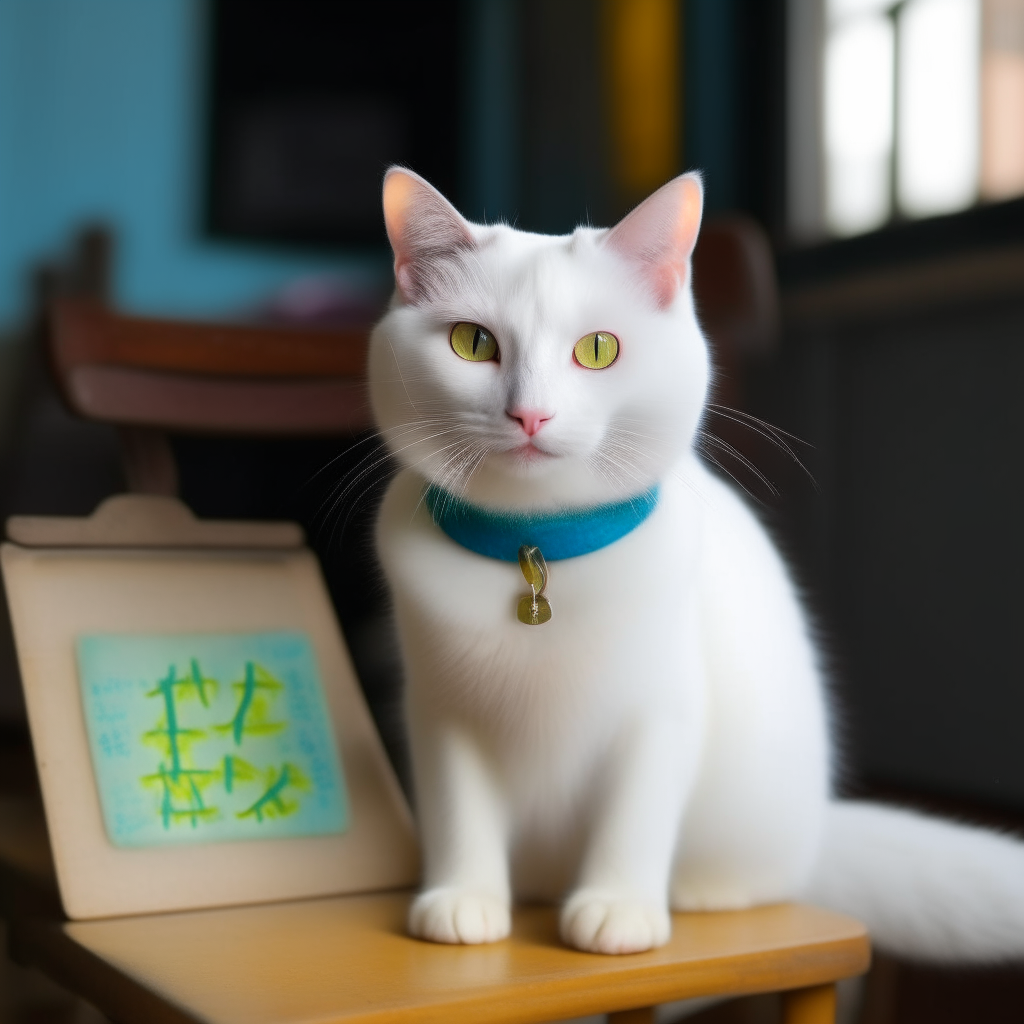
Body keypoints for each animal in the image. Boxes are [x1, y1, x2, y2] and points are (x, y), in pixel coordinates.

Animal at [372, 165, 1024, 958]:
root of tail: (819, 836)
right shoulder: (441, 718)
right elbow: (458, 811)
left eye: (597, 350)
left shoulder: (660, 711)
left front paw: (618, 907)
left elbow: (634, 814)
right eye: (472, 343)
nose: (531, 414)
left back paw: (698, 892)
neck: (538, 548)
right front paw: (464, 898)